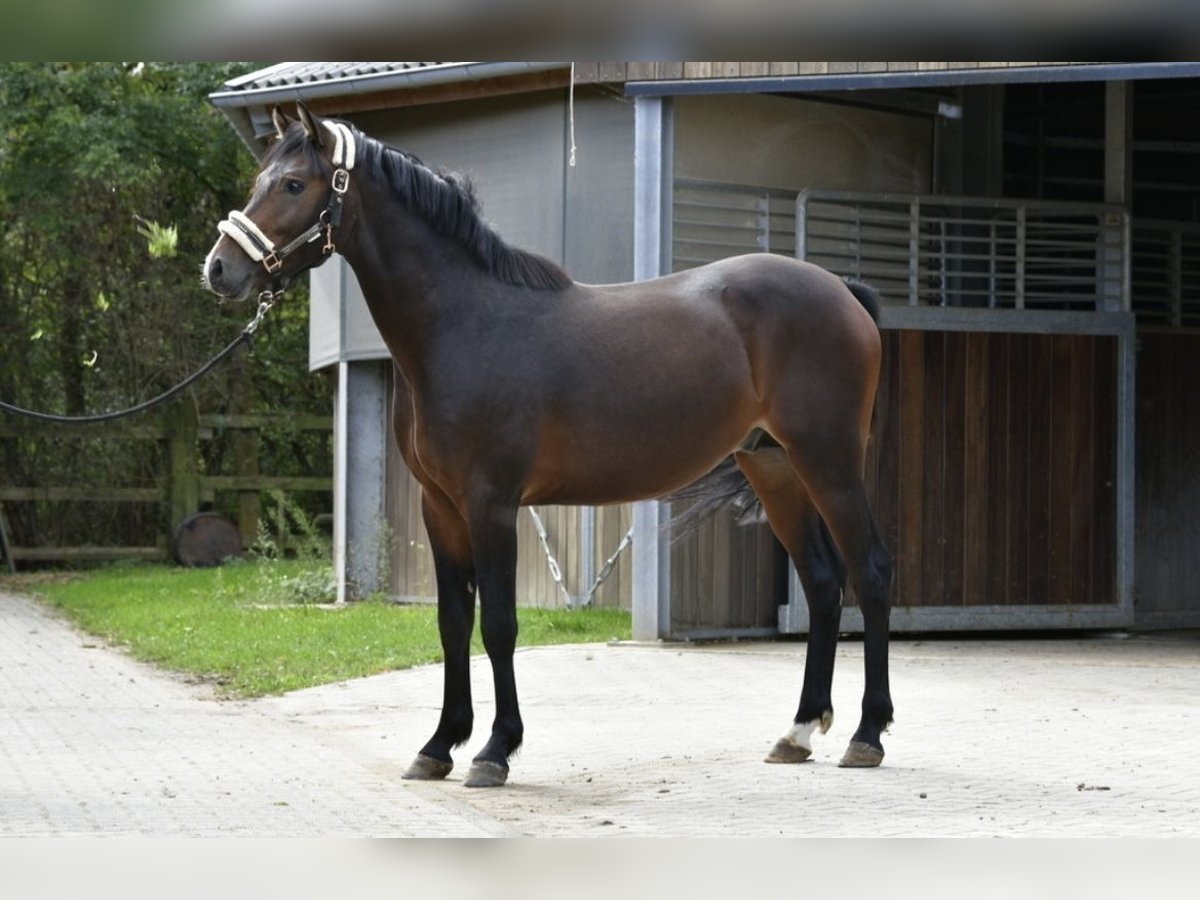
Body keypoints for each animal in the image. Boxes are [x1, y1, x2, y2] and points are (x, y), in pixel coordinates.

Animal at [204, 100, 892, 787]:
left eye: (295, 185)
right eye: (260, 180)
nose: (219, 269)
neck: (463, 323)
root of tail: (842, 291)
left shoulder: (492, 502)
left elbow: (499, 624)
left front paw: (494, 749)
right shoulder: (440, 505)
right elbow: (452, 622)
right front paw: (439, 745)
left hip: (829, 463)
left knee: (870, 571)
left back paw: (867, 736)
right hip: (773, 467)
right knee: (823, 582)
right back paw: (798, 732)